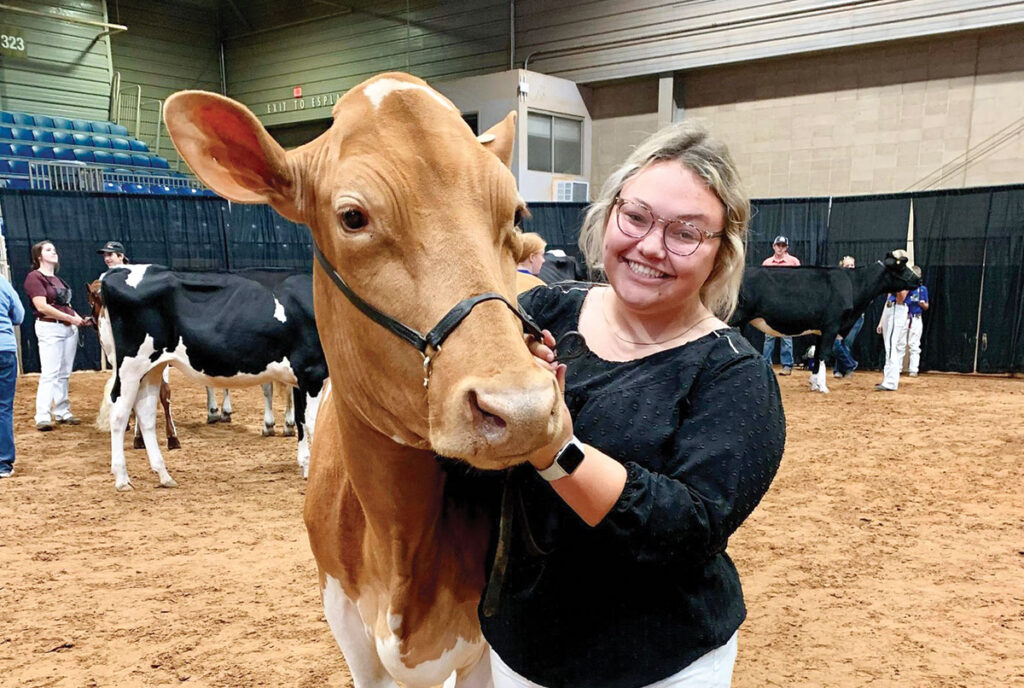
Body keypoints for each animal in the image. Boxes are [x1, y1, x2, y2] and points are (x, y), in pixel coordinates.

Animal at [729, 250, 921, 393]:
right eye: (902, 266)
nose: (918, 279)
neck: (853, 284)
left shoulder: (820, 330)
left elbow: (817, 356)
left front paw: (814, 383)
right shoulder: (831, 326)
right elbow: (823, 355)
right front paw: (822, 386)